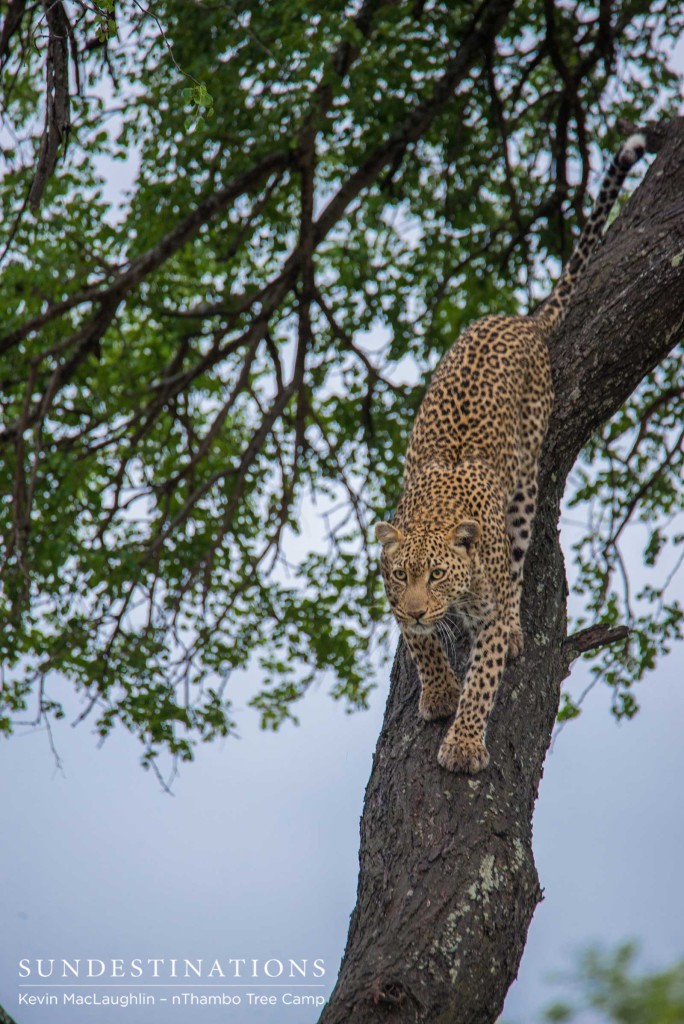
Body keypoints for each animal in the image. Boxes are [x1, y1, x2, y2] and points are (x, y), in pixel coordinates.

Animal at [376, 134, 651, 774]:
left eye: (438, 574)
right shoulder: (393, 603)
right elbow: (424, 650)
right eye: (401, 574)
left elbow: (484, 679)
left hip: (525, 486)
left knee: (523, 551)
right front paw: (439, 691)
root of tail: (518, 319)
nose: (419, 609)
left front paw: (463, 743)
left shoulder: (490, 612)